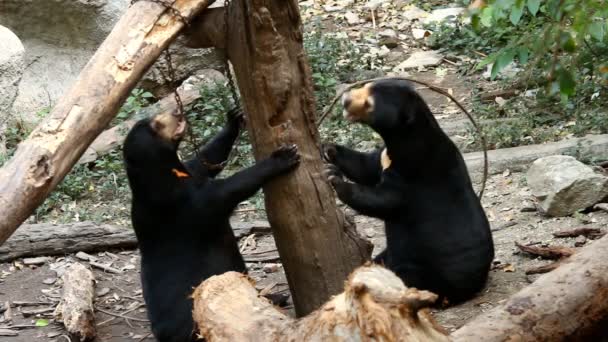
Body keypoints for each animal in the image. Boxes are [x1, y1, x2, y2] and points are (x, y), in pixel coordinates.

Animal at [123, 107, 300, 342]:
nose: (177, 111)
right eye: (156, 125)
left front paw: (234, 118)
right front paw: (283, 157)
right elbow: (225, 190)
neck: (167, 173)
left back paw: (275, 296)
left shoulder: (190, 172)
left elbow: (205, 159)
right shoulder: (182, 204)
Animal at [324, 80, 494, 304]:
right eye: (365, 86)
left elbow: (384, 200)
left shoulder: (414, 174)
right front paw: (329, 150)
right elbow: (365, 166)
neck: (404, 139)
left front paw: (335, 179)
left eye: (370, 103)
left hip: (425, 269)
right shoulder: (385, 157)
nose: (345, 100)